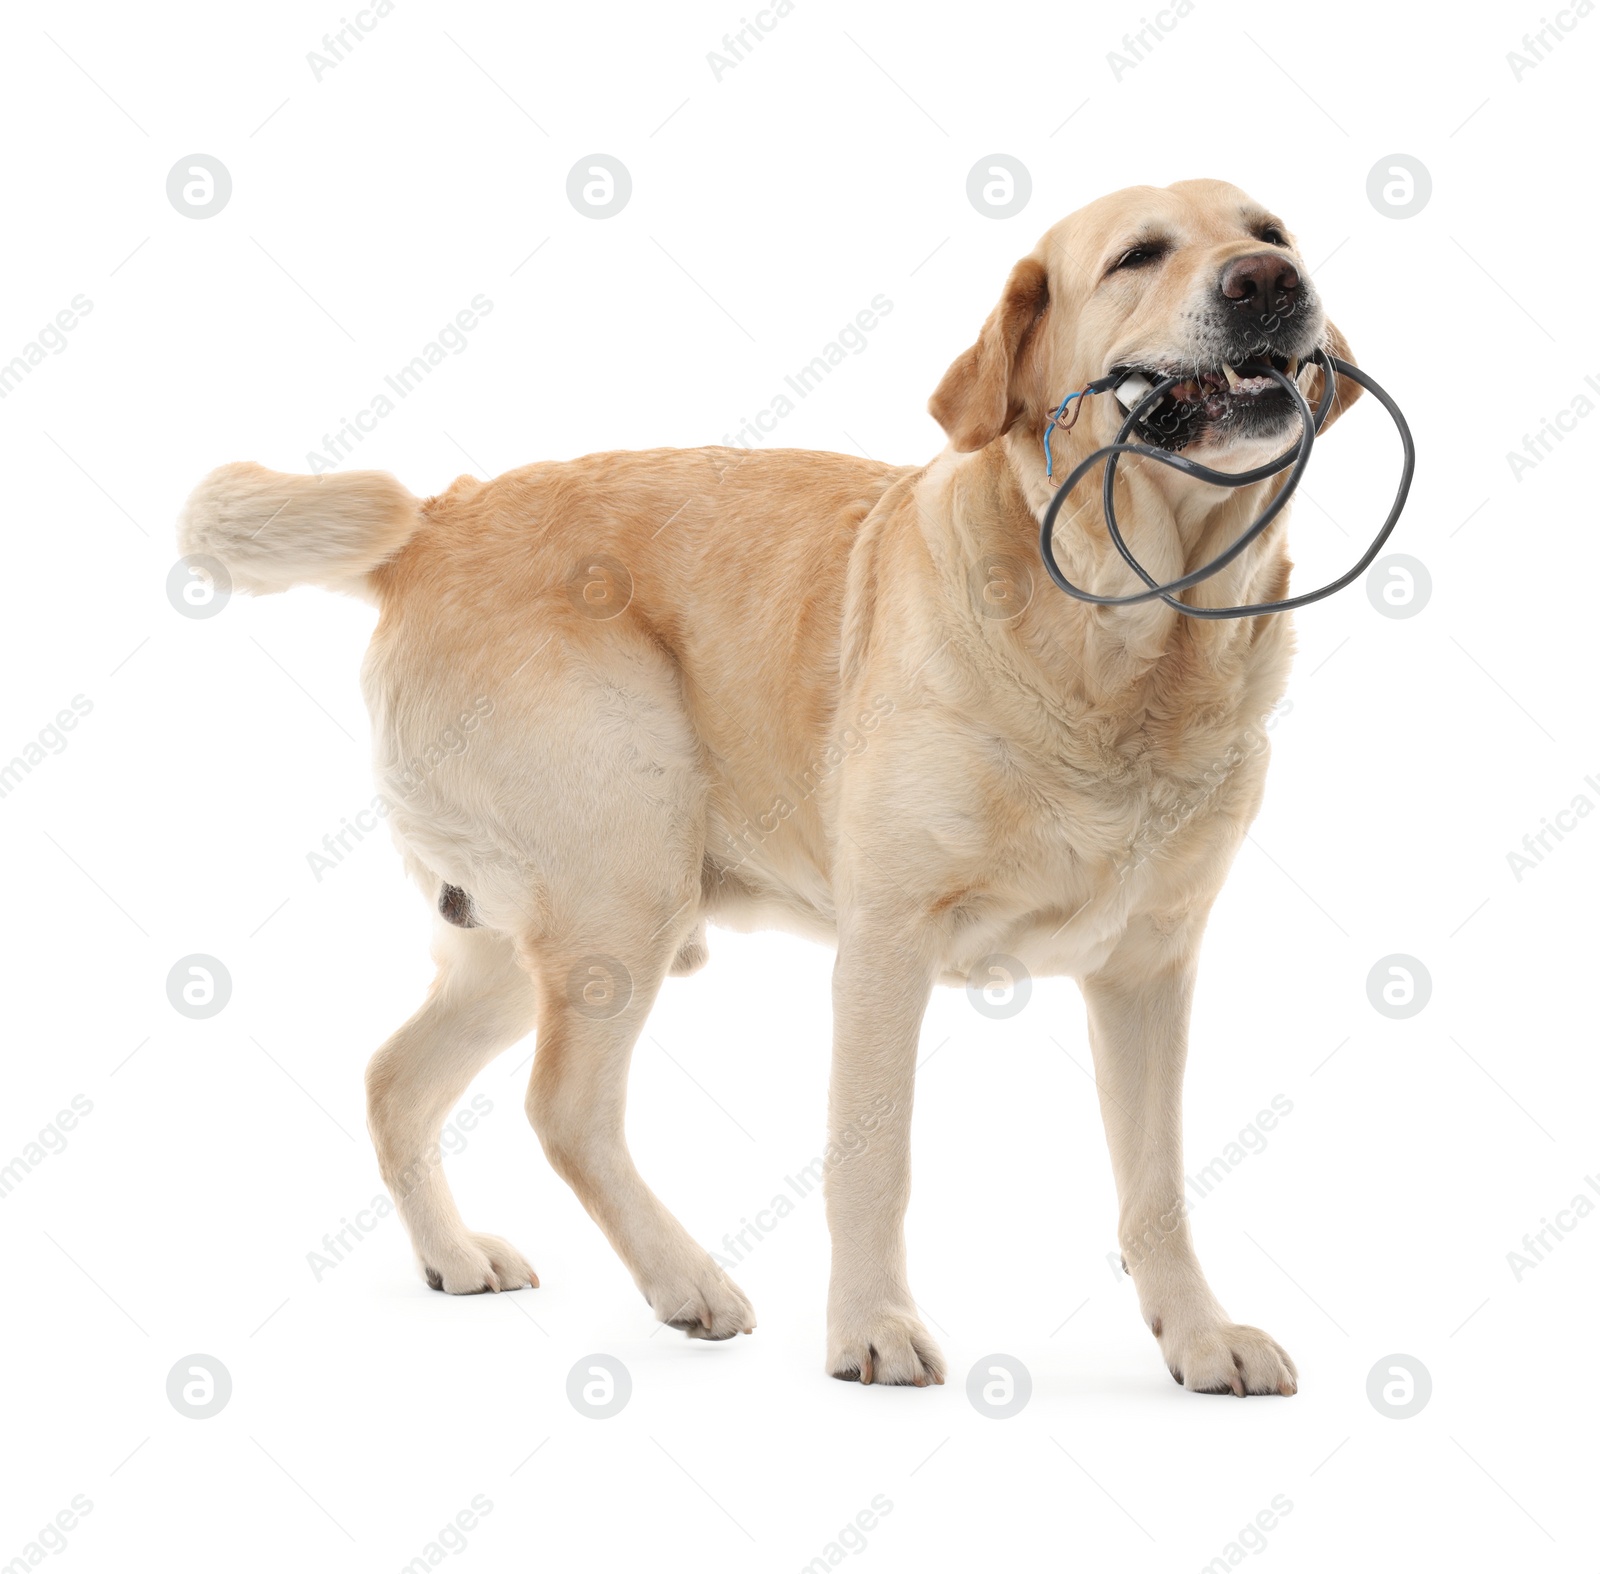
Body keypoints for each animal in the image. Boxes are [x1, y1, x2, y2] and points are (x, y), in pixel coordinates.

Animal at [184, 178, 1363, 1394]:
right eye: (1138, 256)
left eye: (1270, 234)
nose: (1269, 284)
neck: (1127, 643)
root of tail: (435, 517)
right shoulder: (887, 945)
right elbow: (873, 1160)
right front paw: (870, 1327)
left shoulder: (1149, 968)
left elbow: (1157, 1183)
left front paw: (1198, 1332)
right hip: (627, 882)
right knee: (564, 1107)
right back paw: (686, 1281)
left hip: (524, 933)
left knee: (394, 1077)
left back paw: (454, 1255)